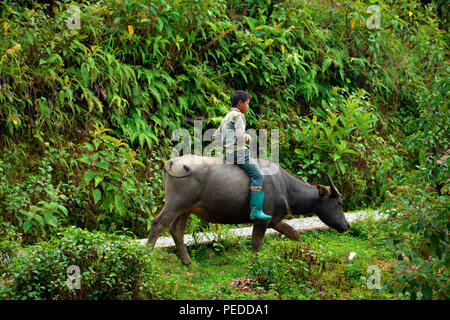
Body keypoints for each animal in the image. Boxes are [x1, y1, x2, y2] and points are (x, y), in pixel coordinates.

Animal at [146, 154, 350, 264]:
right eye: (338, 203)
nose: (346, 225)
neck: (284, 187)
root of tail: (173, 162)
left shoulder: (274, 220)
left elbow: (294, 233)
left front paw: (308, 255)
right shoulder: (261, 220)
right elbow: (256, 242)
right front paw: (254, 264)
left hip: (186, 209)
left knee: (176, 230)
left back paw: (188, 262)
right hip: (175, 203)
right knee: (158, 224)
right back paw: (147, 260)